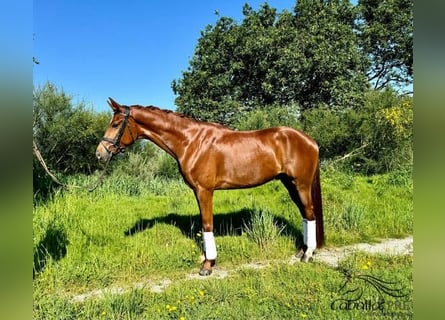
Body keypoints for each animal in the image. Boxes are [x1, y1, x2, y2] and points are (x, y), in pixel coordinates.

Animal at [95, 99, 322, 276]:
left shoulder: (204, 191)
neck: (191, 141)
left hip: (301, 185)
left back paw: (308, 254)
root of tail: (310, 140)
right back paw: (302, 251)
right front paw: (205, 259)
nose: (99, 154)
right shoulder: (199, 192)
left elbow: (206, 225)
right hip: (290, 184)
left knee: (310, 214)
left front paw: (207, 265)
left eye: (116, 124)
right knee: (304, 214)